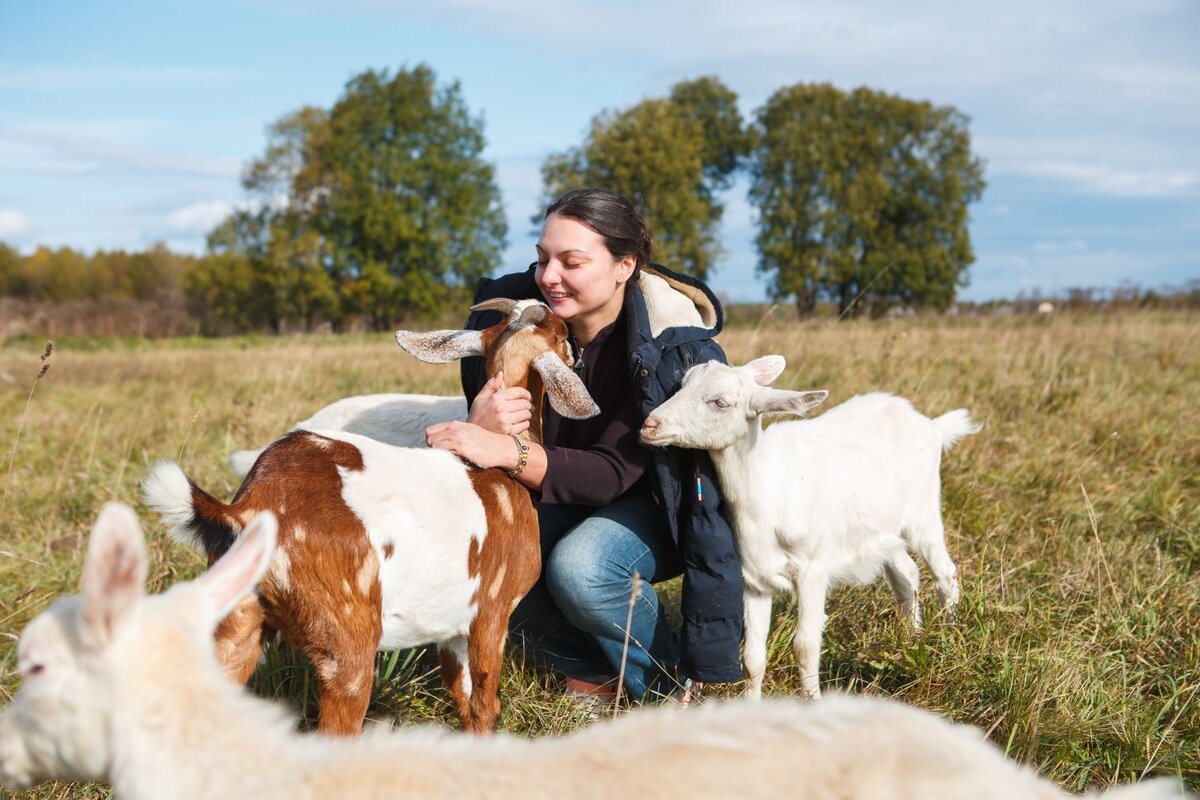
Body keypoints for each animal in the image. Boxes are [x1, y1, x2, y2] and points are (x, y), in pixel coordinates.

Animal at [643, 357, 979, 700]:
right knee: (905, 574)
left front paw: (813, 701)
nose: (650, 425)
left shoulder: (812, 570)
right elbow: (752, 657)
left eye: (720, 402)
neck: (766, 489)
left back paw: (948, 637)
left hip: (924, 513)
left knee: (945, 576)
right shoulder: (753, 578)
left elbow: (804, 646)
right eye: (681, 385)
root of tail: (931, 426)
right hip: (881, 530)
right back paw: (912, 635)